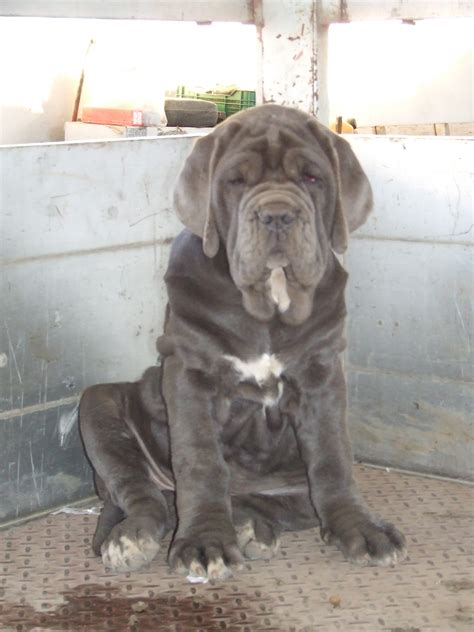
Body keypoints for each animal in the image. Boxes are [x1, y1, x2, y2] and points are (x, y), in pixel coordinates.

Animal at [79, 106, 406, 580]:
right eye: (236, 181)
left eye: (311, 178)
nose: (277, 214)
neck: (269, 303)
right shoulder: (191, 379)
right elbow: (201, 462)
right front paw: (205, 543)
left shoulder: (322, 374)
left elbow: (333, 459)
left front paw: (360, 528)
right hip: (98, 405)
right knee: (142, 495)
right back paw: (131, 538)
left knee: (274, 502)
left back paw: (254, 527)